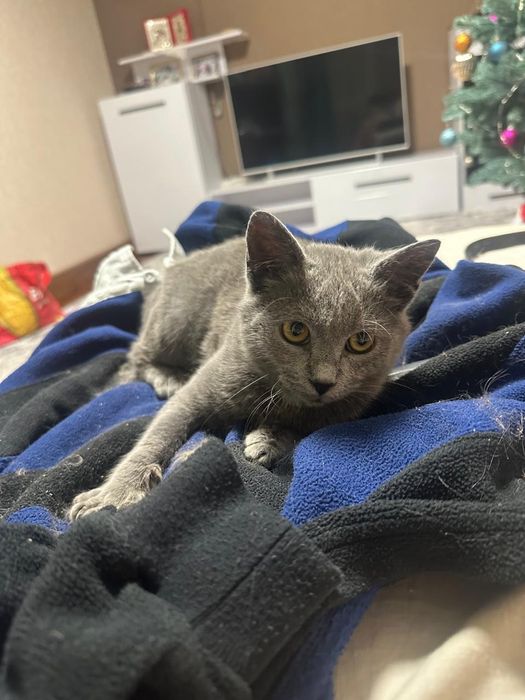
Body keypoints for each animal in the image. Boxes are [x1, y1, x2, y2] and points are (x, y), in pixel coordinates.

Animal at [69, 211, 439, 519]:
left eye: (361, 341)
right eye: (295, 331)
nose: (323, 382)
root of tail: (167, 270)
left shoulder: (350, 405)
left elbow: (310, 423)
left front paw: (268, 440)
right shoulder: (202, 387)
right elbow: (159, 433)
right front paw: (113, 495)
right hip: (173, 321)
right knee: (133, 360)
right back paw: (166, 377)